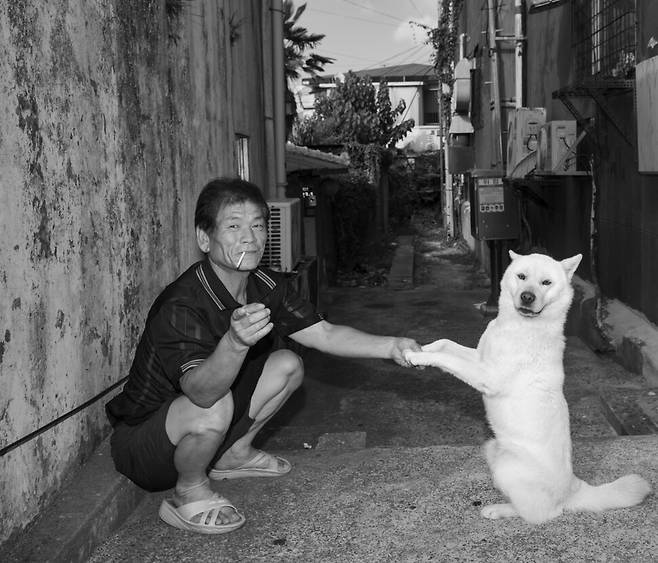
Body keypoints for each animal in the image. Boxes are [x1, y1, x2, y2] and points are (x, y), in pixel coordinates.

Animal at [402, 251, 648, 524]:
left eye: (546, 282)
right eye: (521, 276)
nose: (527, 297)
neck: (518, 326)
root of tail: (572, 489)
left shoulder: (486, 375)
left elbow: (446, 358)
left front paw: (418, 357)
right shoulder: (479, 358)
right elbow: (445, 343)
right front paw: (418, 348)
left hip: (509, 469)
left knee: (539, 514)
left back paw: (498, 509)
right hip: (492, 449)